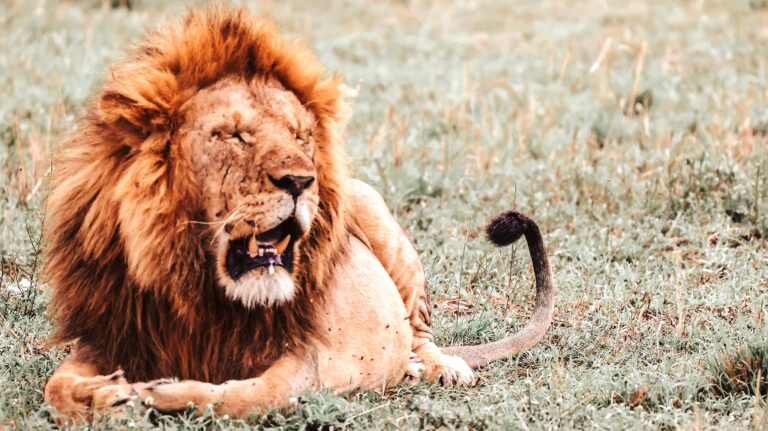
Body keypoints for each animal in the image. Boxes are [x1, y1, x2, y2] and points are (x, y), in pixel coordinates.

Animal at [42, 6, 555, 422]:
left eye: (300, 135)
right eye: (233, 135)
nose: (299, 181)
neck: (200, 289)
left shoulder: (304, 359)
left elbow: (247, 396)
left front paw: (153, 392)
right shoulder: (111, 332)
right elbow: (56, 387)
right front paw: (106, 394)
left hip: (372, 210)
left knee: (417, 329)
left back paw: (436, 367)